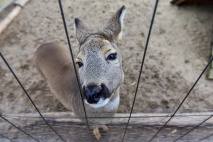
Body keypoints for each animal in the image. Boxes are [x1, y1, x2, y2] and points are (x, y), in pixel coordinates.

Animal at [33, 5, 125, 140]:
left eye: (112, 55)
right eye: (79, 62)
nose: (91, 92)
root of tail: (41, 46)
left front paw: (104, 128)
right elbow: (94, 128)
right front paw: (98, 135)